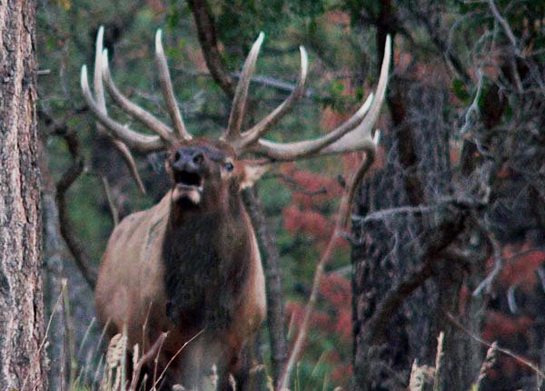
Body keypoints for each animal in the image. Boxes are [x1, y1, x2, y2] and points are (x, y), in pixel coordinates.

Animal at [78, 26, 388, 390]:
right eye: (170, 156)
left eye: (229, 164)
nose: (187, 156)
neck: (203, 311)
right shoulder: (155, 345)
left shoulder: (242, 349)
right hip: (117, 339)